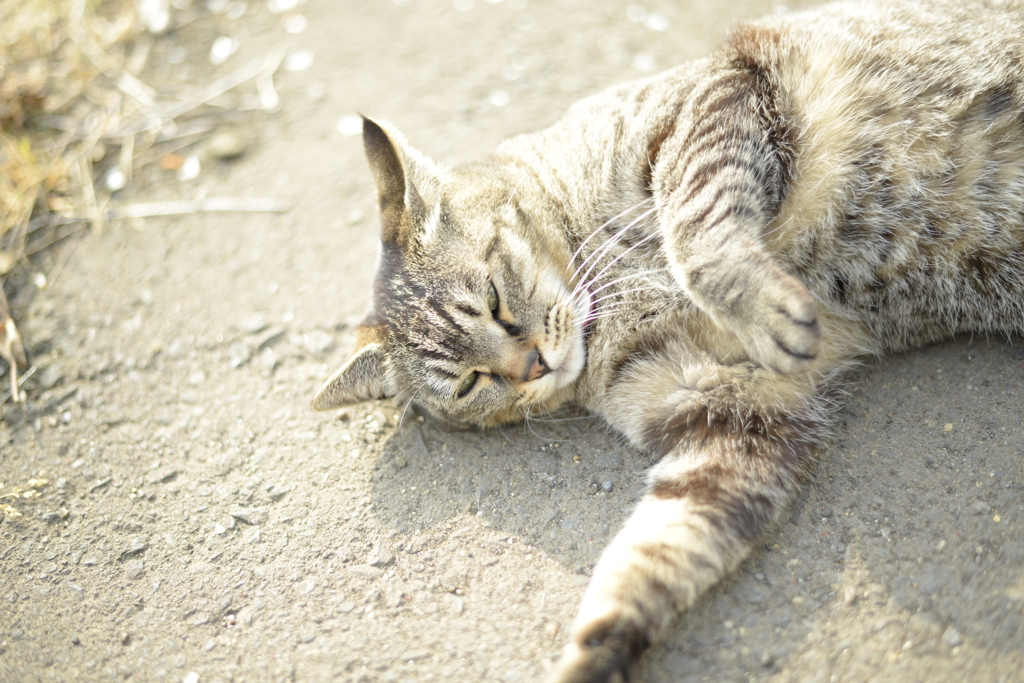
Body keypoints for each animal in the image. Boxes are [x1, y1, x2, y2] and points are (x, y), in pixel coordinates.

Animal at [309, 2, 1024, 679]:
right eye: (468, 384)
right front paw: (593, 655)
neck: (609, 313)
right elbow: (648, 564)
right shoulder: (737, 417)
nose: (532, 365)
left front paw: (763, 307)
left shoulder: (714, 96)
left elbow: (695, 234)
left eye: (492, 301)